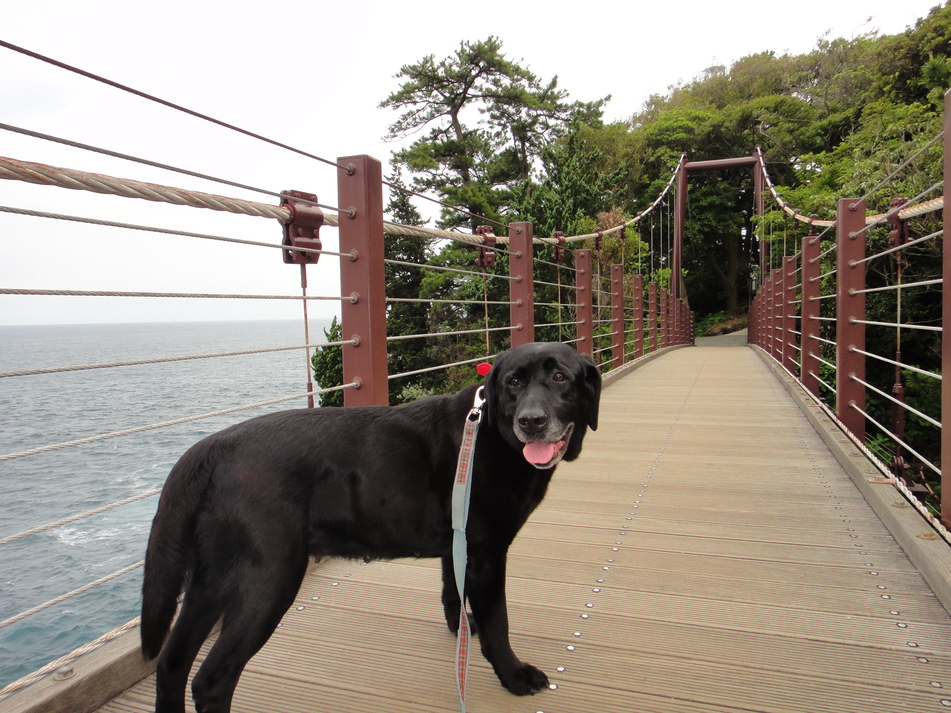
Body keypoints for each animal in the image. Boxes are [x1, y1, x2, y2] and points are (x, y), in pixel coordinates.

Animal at [139, 342, 604, 708]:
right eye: (513, 383)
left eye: (560, 377)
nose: (531, 421)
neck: (491, 434)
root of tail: (214, 446)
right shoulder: (487, 554)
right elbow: (498, 624)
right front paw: (514, 675)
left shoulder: (459, 545)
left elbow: (452, 590)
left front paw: (461, 630)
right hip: (268, 578)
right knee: (211, 680)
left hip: (212, 577)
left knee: (172, 664)